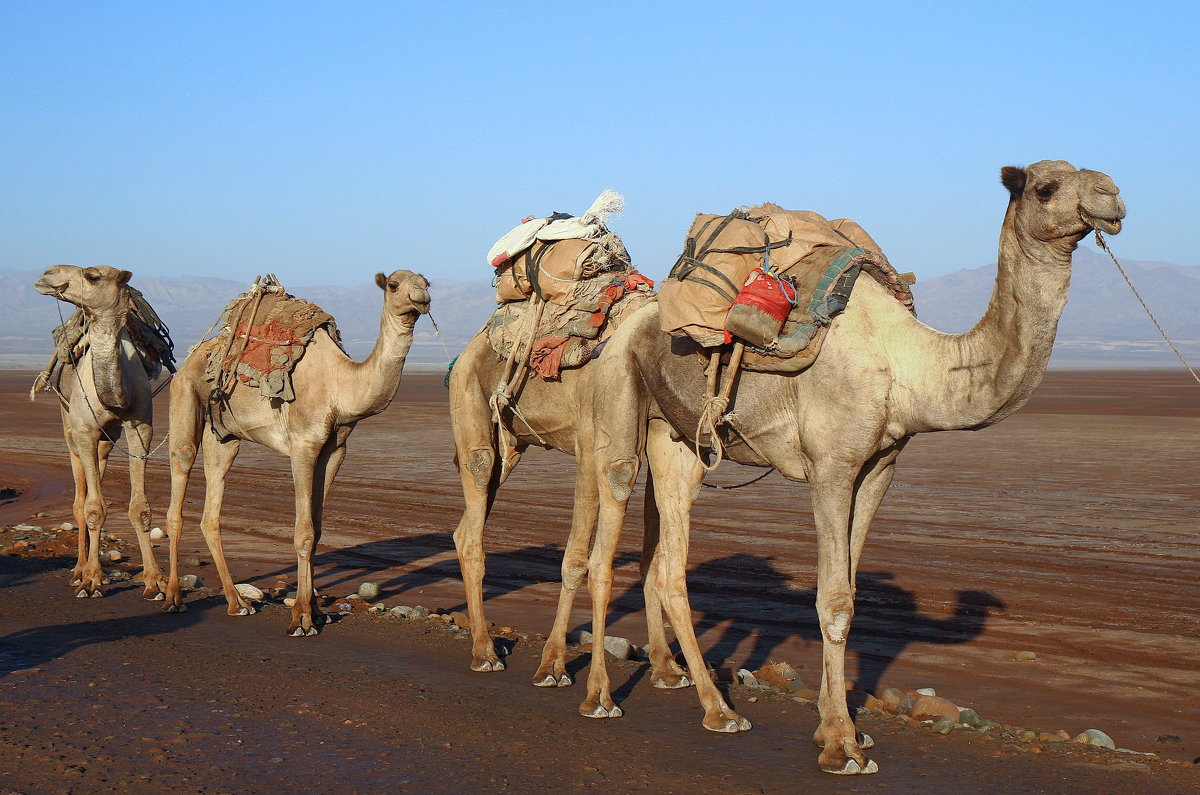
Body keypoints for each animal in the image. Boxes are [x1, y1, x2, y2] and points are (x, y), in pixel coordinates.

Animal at [32, 264, 166, 600]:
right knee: (81, 501)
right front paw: (91, 579)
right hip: (70, 429)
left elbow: (140, 509)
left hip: (107, 439)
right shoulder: (84, 431)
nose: (47, 273)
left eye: (92, 276)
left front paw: (155, 582)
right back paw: (80, 569)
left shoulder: (140, 428)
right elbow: (92, 508)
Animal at [164, 271, 432, 638]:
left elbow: (316, 531)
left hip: (224, 435)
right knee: (180, 475)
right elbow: (303, 532)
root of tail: (197, 352)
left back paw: (237, 603)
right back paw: (172, 598)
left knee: (211, 511)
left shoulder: (335, 450)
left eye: (427, 282)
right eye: (393, 285)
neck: (340, 384)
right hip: (185, 393)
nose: (421, 298)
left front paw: (317, 611)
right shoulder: (303, 444)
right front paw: (302, 619)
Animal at [448, 297, 696, 691]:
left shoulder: (650, 441)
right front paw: (553, 666)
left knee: (464, 528)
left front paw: (668, 669)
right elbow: (577, 559)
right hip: (470, 404)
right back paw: (485, 653)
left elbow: (652, 554)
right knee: (477, 489)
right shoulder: (590, 442)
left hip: (511, 447)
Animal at [580, 162, 1123, 778]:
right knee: (608, 537)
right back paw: (602, 697)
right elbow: (833, 600)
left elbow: (852, 589)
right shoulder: (832, 465)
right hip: (619, 400)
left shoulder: (879, 468)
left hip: (678, 440)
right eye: (1045, 188)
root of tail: (628, 320)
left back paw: (716, 708)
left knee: (670, 566)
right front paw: (842, 745)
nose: (1111, 197)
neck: (906, 365)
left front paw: (837, 729)